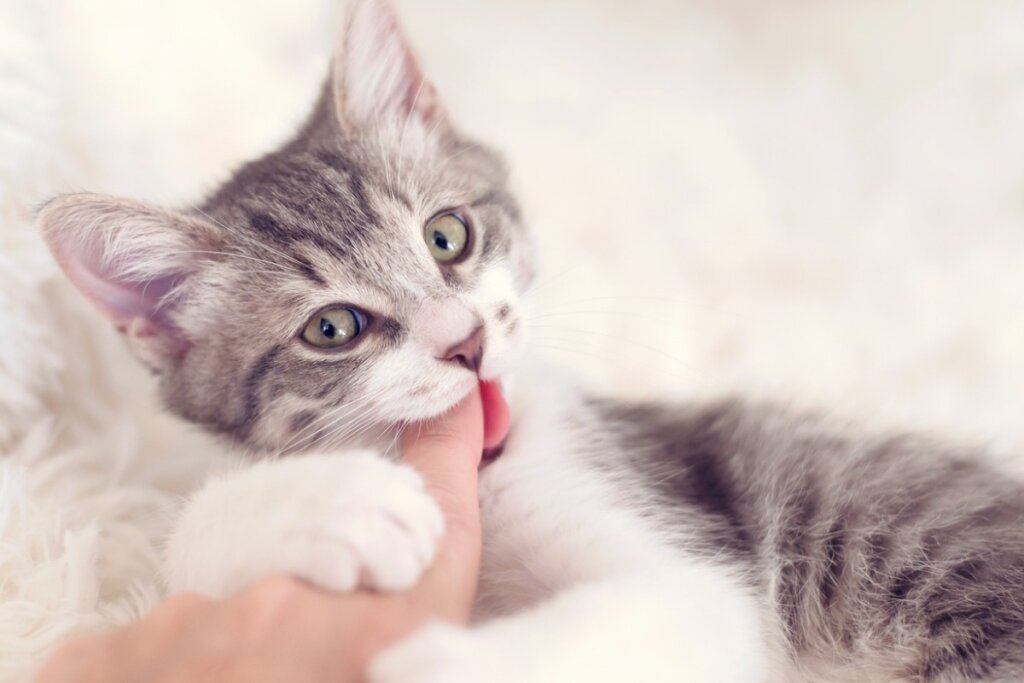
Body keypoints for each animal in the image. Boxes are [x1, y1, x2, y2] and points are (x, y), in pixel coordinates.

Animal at [36, 2, 1024, 679]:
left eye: (447, 236)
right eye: (332, 328)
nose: (466, 340)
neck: (485, 470)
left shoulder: (700, 572)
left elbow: (667, 609)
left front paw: (422, 662)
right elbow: (187, 551)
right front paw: (328, 505)